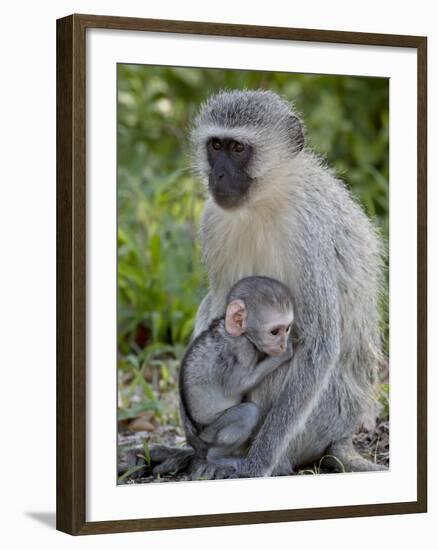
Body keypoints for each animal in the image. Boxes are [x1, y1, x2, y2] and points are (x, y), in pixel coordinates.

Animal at [178, 276, 294, 470]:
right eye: (274, 332)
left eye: (287, 329)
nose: (282, 345)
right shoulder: (242, 349)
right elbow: (237, 386)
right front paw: (284, 355)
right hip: (211, 431)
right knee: (248, 412)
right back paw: (216, 457)